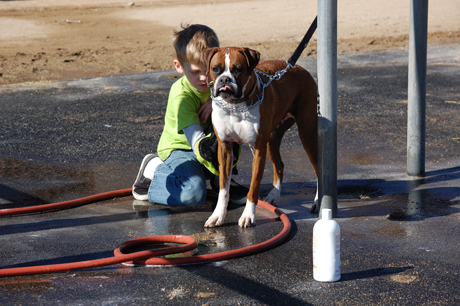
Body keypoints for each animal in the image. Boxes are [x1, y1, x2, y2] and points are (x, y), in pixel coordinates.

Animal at [203, 47, 318, 227]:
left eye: (238, 69)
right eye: (215, 69)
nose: (225, 79)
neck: (235, 106)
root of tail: (299, 68)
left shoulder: (258, 150)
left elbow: (253, 187)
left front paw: (248, 216)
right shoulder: (225, 148)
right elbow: (223, 188)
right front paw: (218, 215)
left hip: (307, 134)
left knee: (319, 168)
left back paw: (318, 202)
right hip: (271, 140)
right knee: (279, 166)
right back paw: (273, 196)